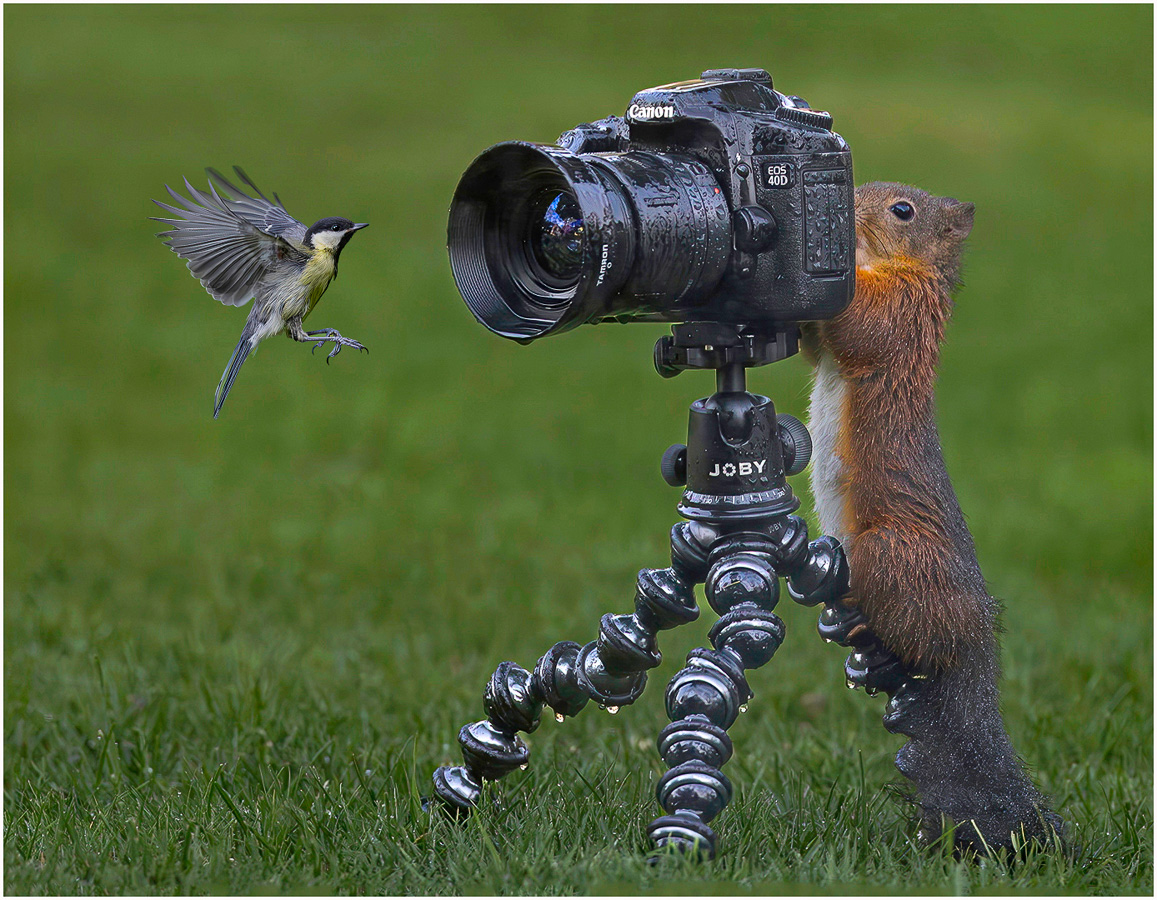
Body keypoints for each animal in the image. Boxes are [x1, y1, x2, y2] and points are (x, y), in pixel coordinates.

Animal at [800, 180, 1059, 846]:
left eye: (902, 211)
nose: (847, 204)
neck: (902, 267)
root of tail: (976, 640)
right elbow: (815, 347)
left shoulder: (905, 315)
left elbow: (862, 327)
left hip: (891, 552)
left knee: (918, 642)